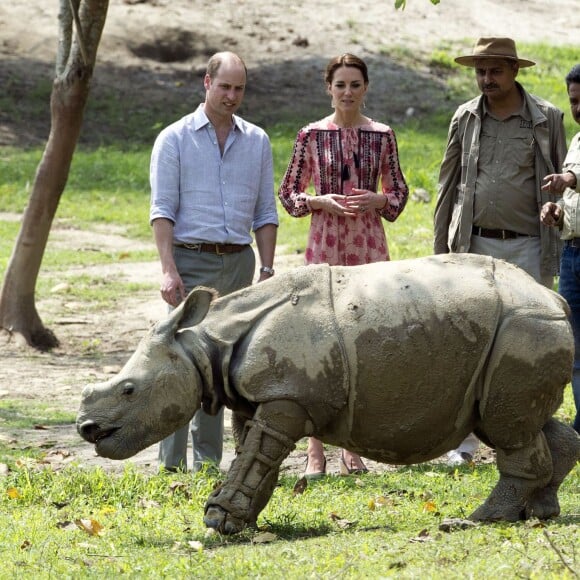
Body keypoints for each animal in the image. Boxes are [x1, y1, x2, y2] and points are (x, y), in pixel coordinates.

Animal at [77, 254, 580, 536]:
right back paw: (540, 513)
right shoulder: (263, 398)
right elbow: (254, 458)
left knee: (507, 428)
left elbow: (256, 456)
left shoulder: (288, 399)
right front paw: (245, 520)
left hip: (523, 327)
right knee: (524, 422)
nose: (87, 429)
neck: (205, 342)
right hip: (518, 334)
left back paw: (476, 521)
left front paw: (219, 522)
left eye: (129, 390)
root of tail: (554, 299)